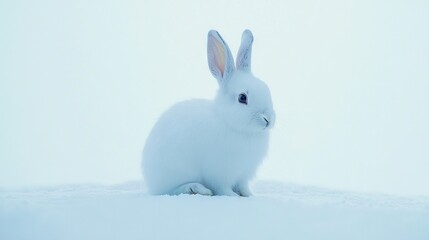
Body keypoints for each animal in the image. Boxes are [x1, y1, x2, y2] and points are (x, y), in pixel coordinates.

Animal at [140, 29, 274, 196]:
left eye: (266, 89)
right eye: (242, 98)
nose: (268, 119)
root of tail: (149, 180)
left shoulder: (243, 175)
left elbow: (243, 186)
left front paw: (249, 195)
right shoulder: (220, 173)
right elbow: (223, 188)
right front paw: (232, 195)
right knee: (171, 190)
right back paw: (195, 188)